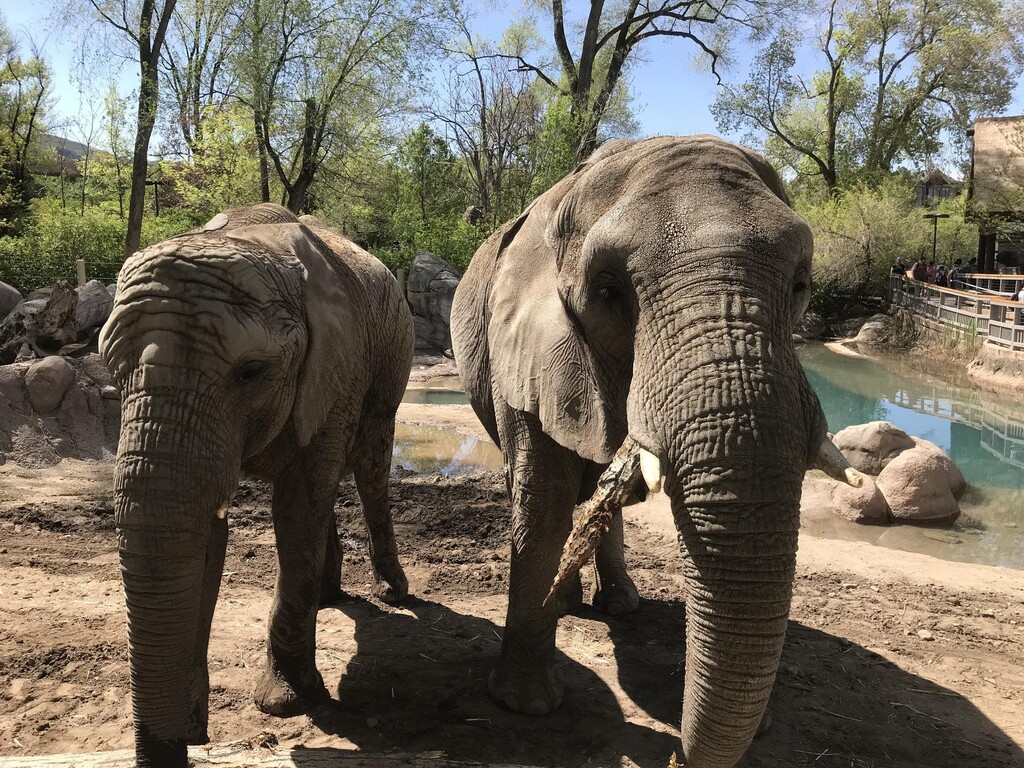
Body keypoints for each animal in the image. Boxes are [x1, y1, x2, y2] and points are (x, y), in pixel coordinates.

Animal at [98, 203, 414, 767]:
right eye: (112, 373)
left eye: (251, 372)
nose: (180, 747)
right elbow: (205, 531)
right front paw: (192, 724)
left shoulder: (336, 366)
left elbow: (297, 511)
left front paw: (288, 704)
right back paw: (328, 596)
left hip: (390, 353)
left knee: (370, 464)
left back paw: (392, 592)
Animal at [450, 136, 842, 767]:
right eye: (609, 293)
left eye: (802, 286)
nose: (677, 754)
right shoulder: (523, 351)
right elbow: (542, 505)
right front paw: (526, 706)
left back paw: (618, 607)